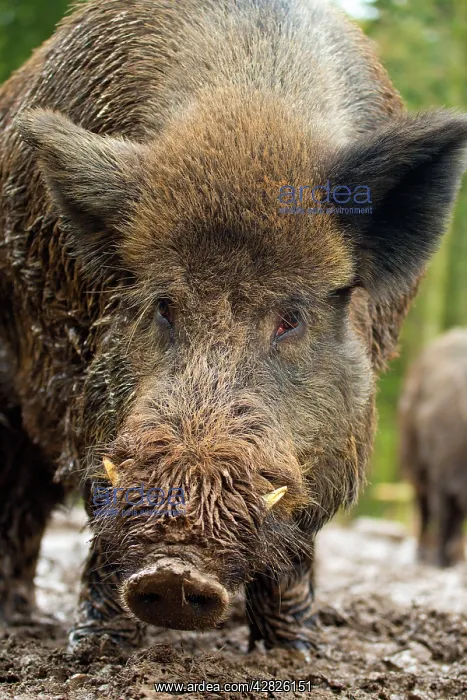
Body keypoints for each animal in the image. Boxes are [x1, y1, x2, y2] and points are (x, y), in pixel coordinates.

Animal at [399, 329, 467, 567]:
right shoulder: (440, 475)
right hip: (416, 468)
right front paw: (439, 560)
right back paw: (424, 555)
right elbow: (443, 514)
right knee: (425, 507)